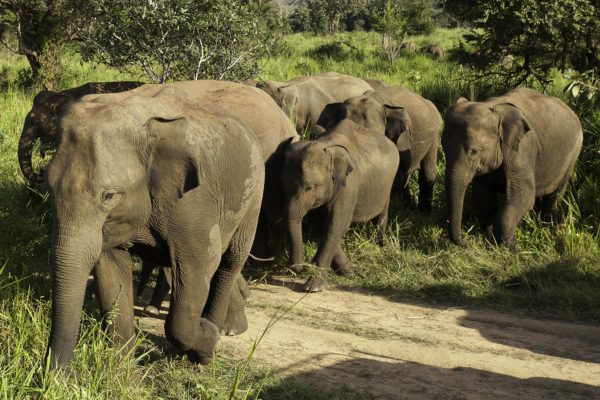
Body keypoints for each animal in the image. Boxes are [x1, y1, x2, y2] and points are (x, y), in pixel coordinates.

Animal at [44, 86, 264, 368]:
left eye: (109, 196)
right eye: (48, 185)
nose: (53, 374)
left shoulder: (193, 202)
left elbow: (199, 263)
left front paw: (208, 341)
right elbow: (111, 268)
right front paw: (124, 367)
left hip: (254, 193)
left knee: (230, 261)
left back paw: (220, 331)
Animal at [282, 119, 398, 290]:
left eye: (309, 188)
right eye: (283, 185)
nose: (298, 268)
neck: (327, 146)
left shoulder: (349, 185)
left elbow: (336, 223)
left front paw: (313, 287)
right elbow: (326, 225)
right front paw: (349, 271)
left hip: (388, 184)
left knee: (382, 216)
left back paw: (383, 245)